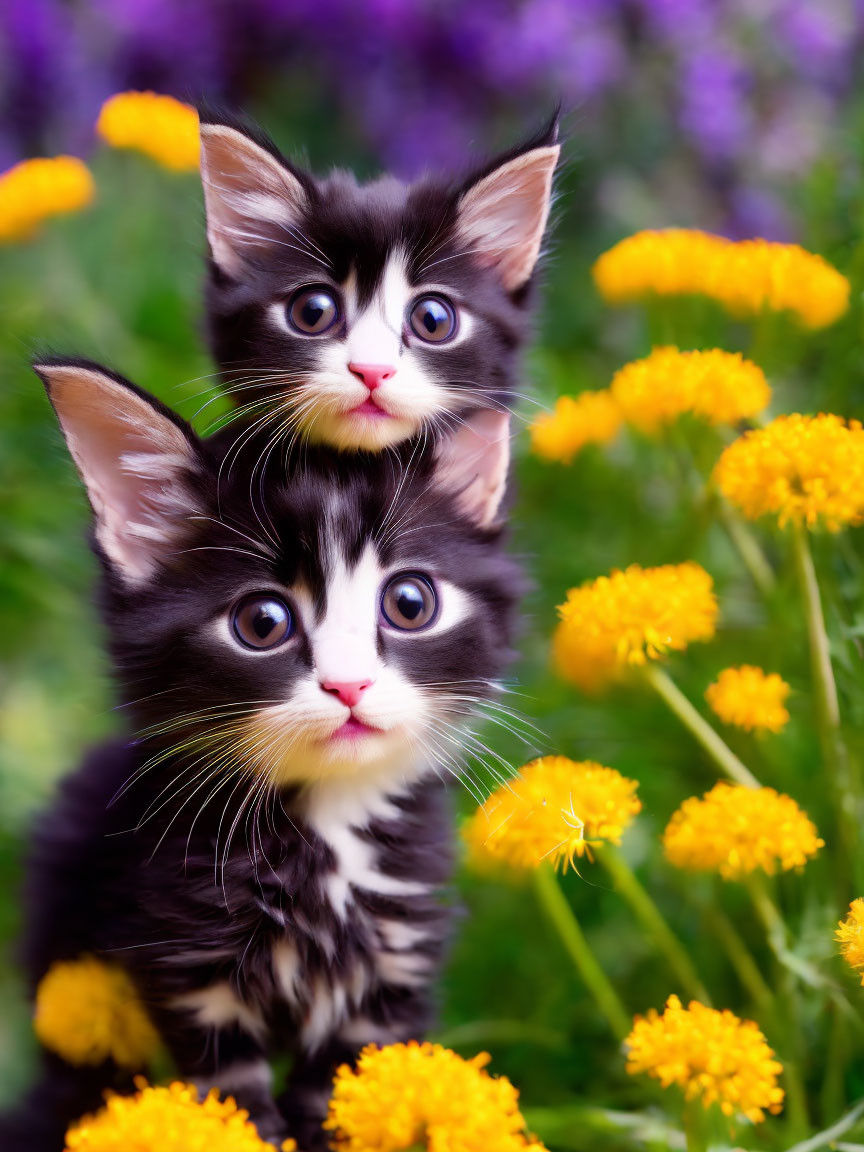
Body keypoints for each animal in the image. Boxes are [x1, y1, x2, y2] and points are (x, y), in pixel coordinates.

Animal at [1, 354, 520, 1147]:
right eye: (263, 621)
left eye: (410, 604)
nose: (348, 685)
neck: (324, 837)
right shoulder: (190, 980)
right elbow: (235, 1107)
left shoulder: (385, 986)